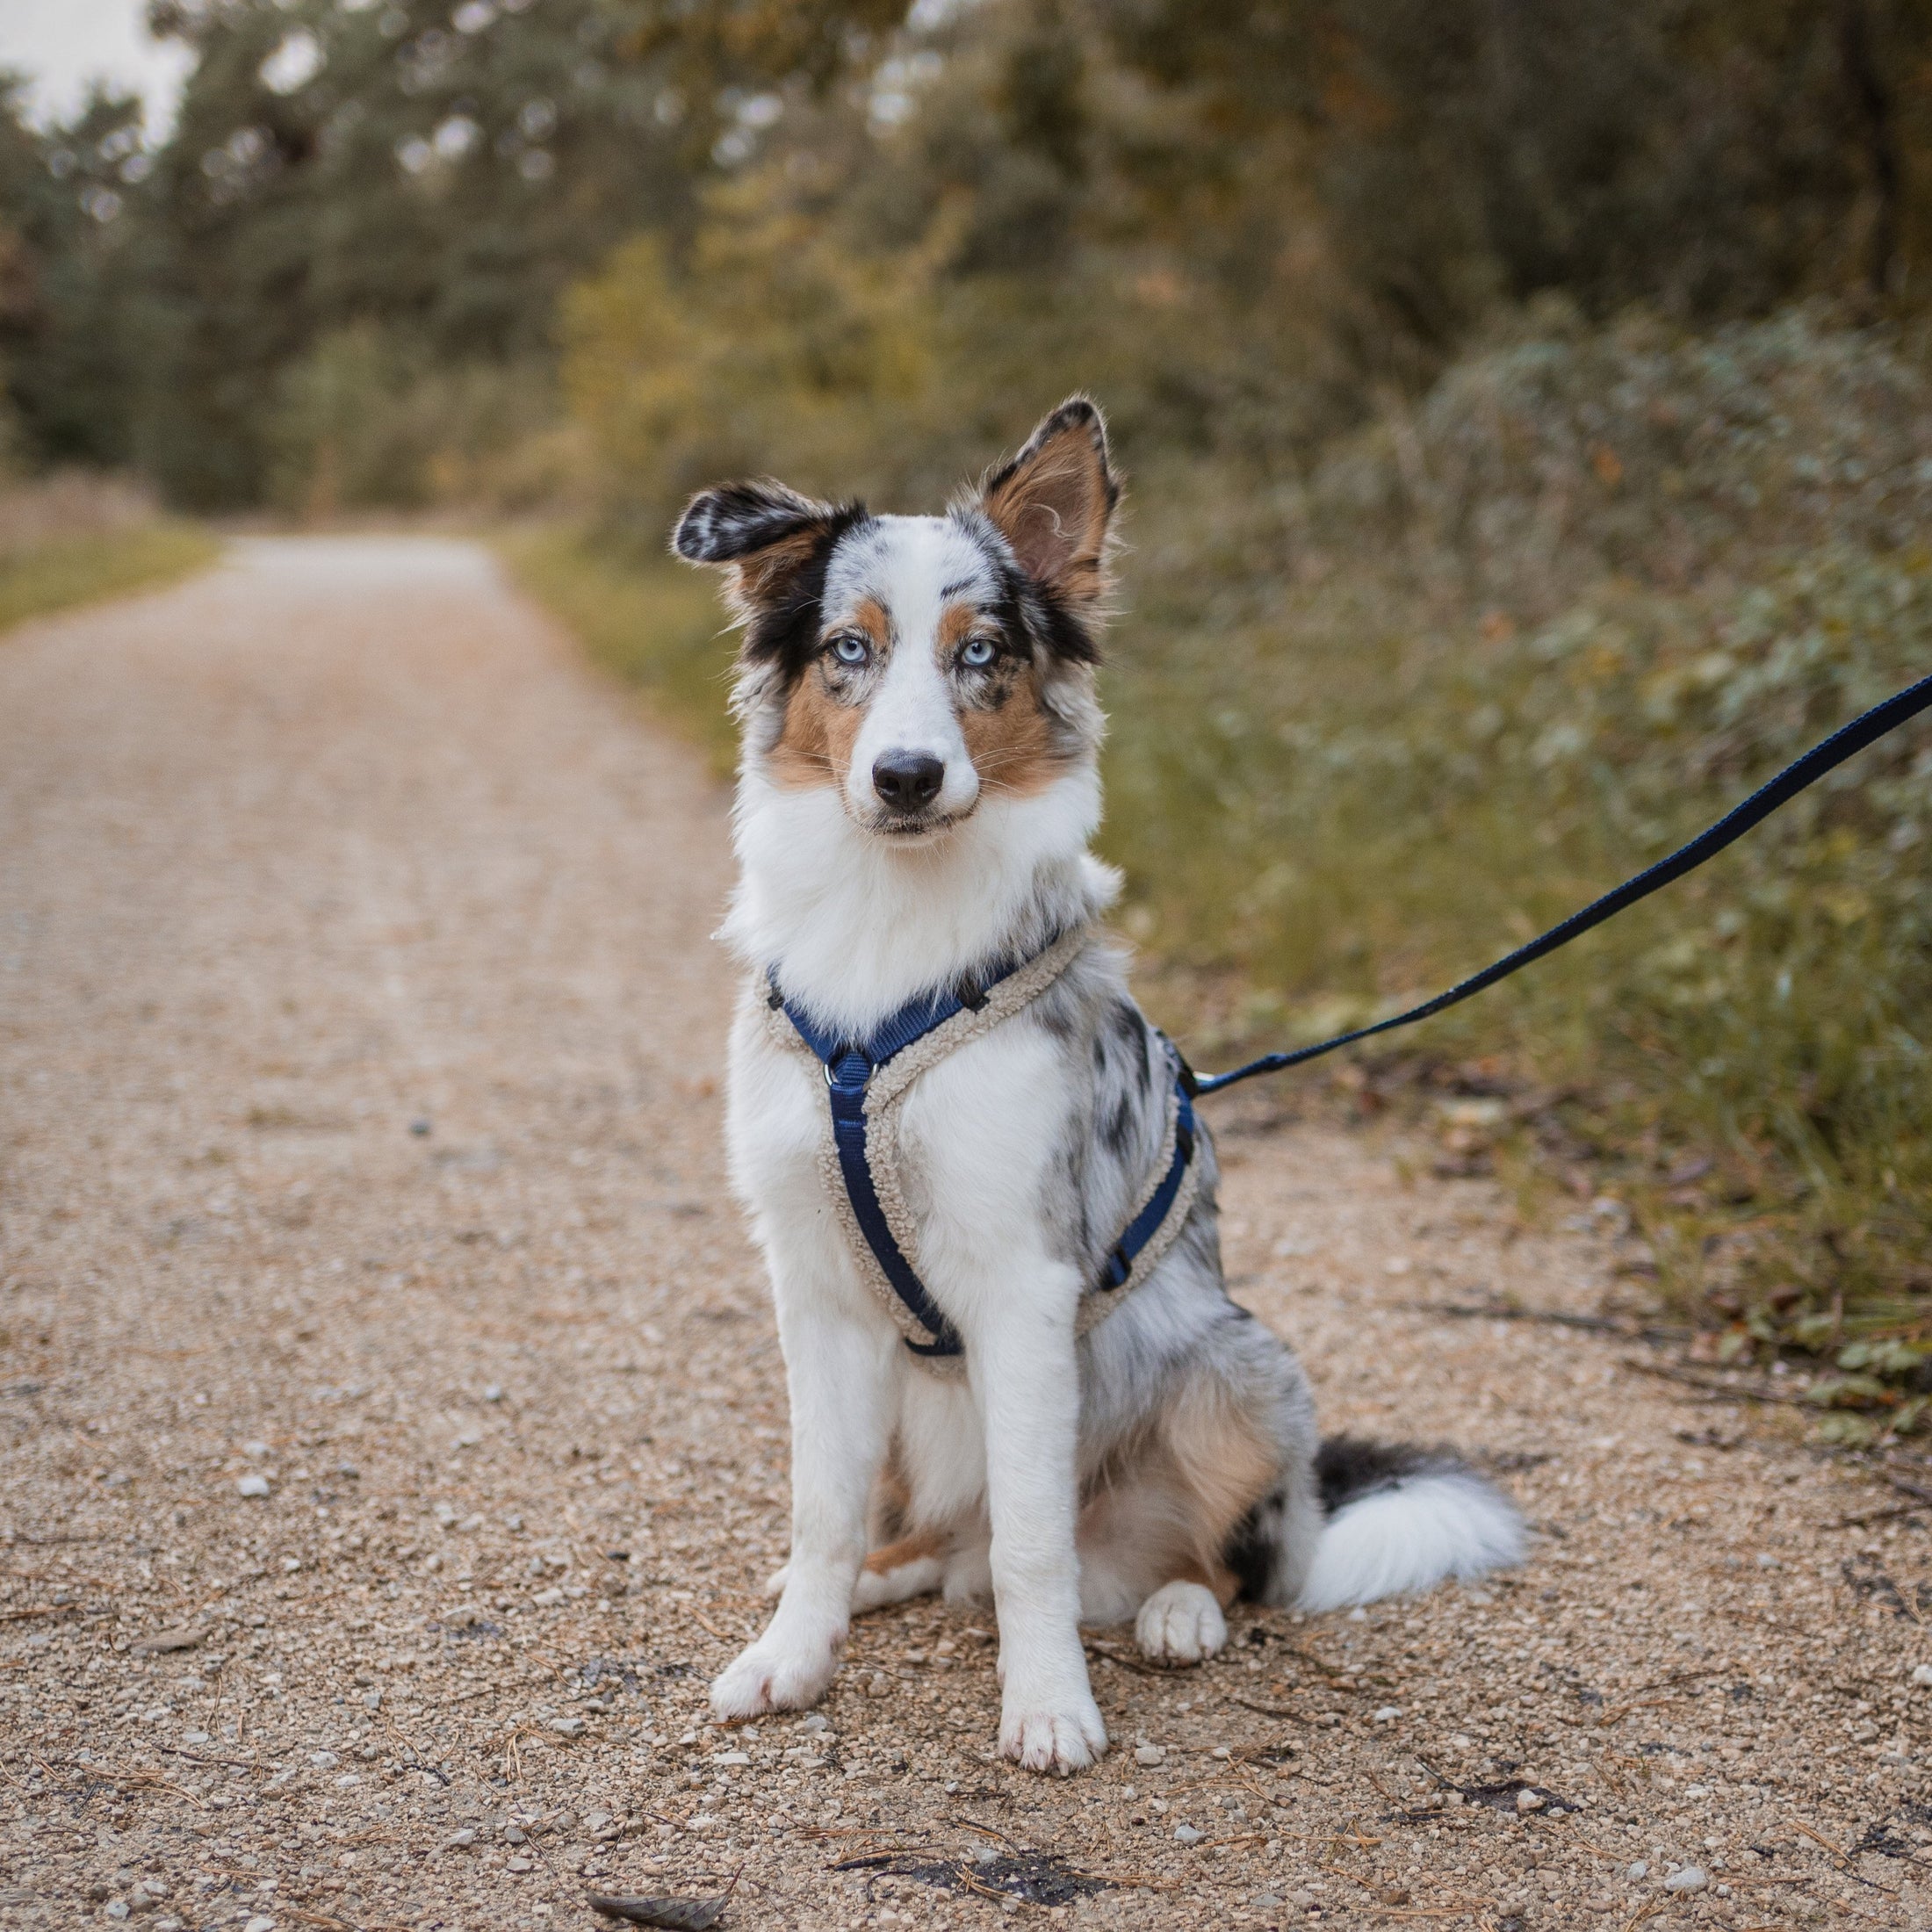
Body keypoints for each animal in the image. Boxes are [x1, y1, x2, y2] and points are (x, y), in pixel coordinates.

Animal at [672, 400, 1514, 1770]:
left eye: (981, 654)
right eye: (850, 649)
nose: (906, 776)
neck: (893, 934)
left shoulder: (1024, 1287)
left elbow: (1035, 1545)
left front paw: (1050, 1704)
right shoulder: (816, 1289)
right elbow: (821, 1509)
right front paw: (793, 1655)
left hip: (1234, 1368)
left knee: (1214, 1564)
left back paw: (1175, 1611)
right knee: (928, 1536)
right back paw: (887, 1577)